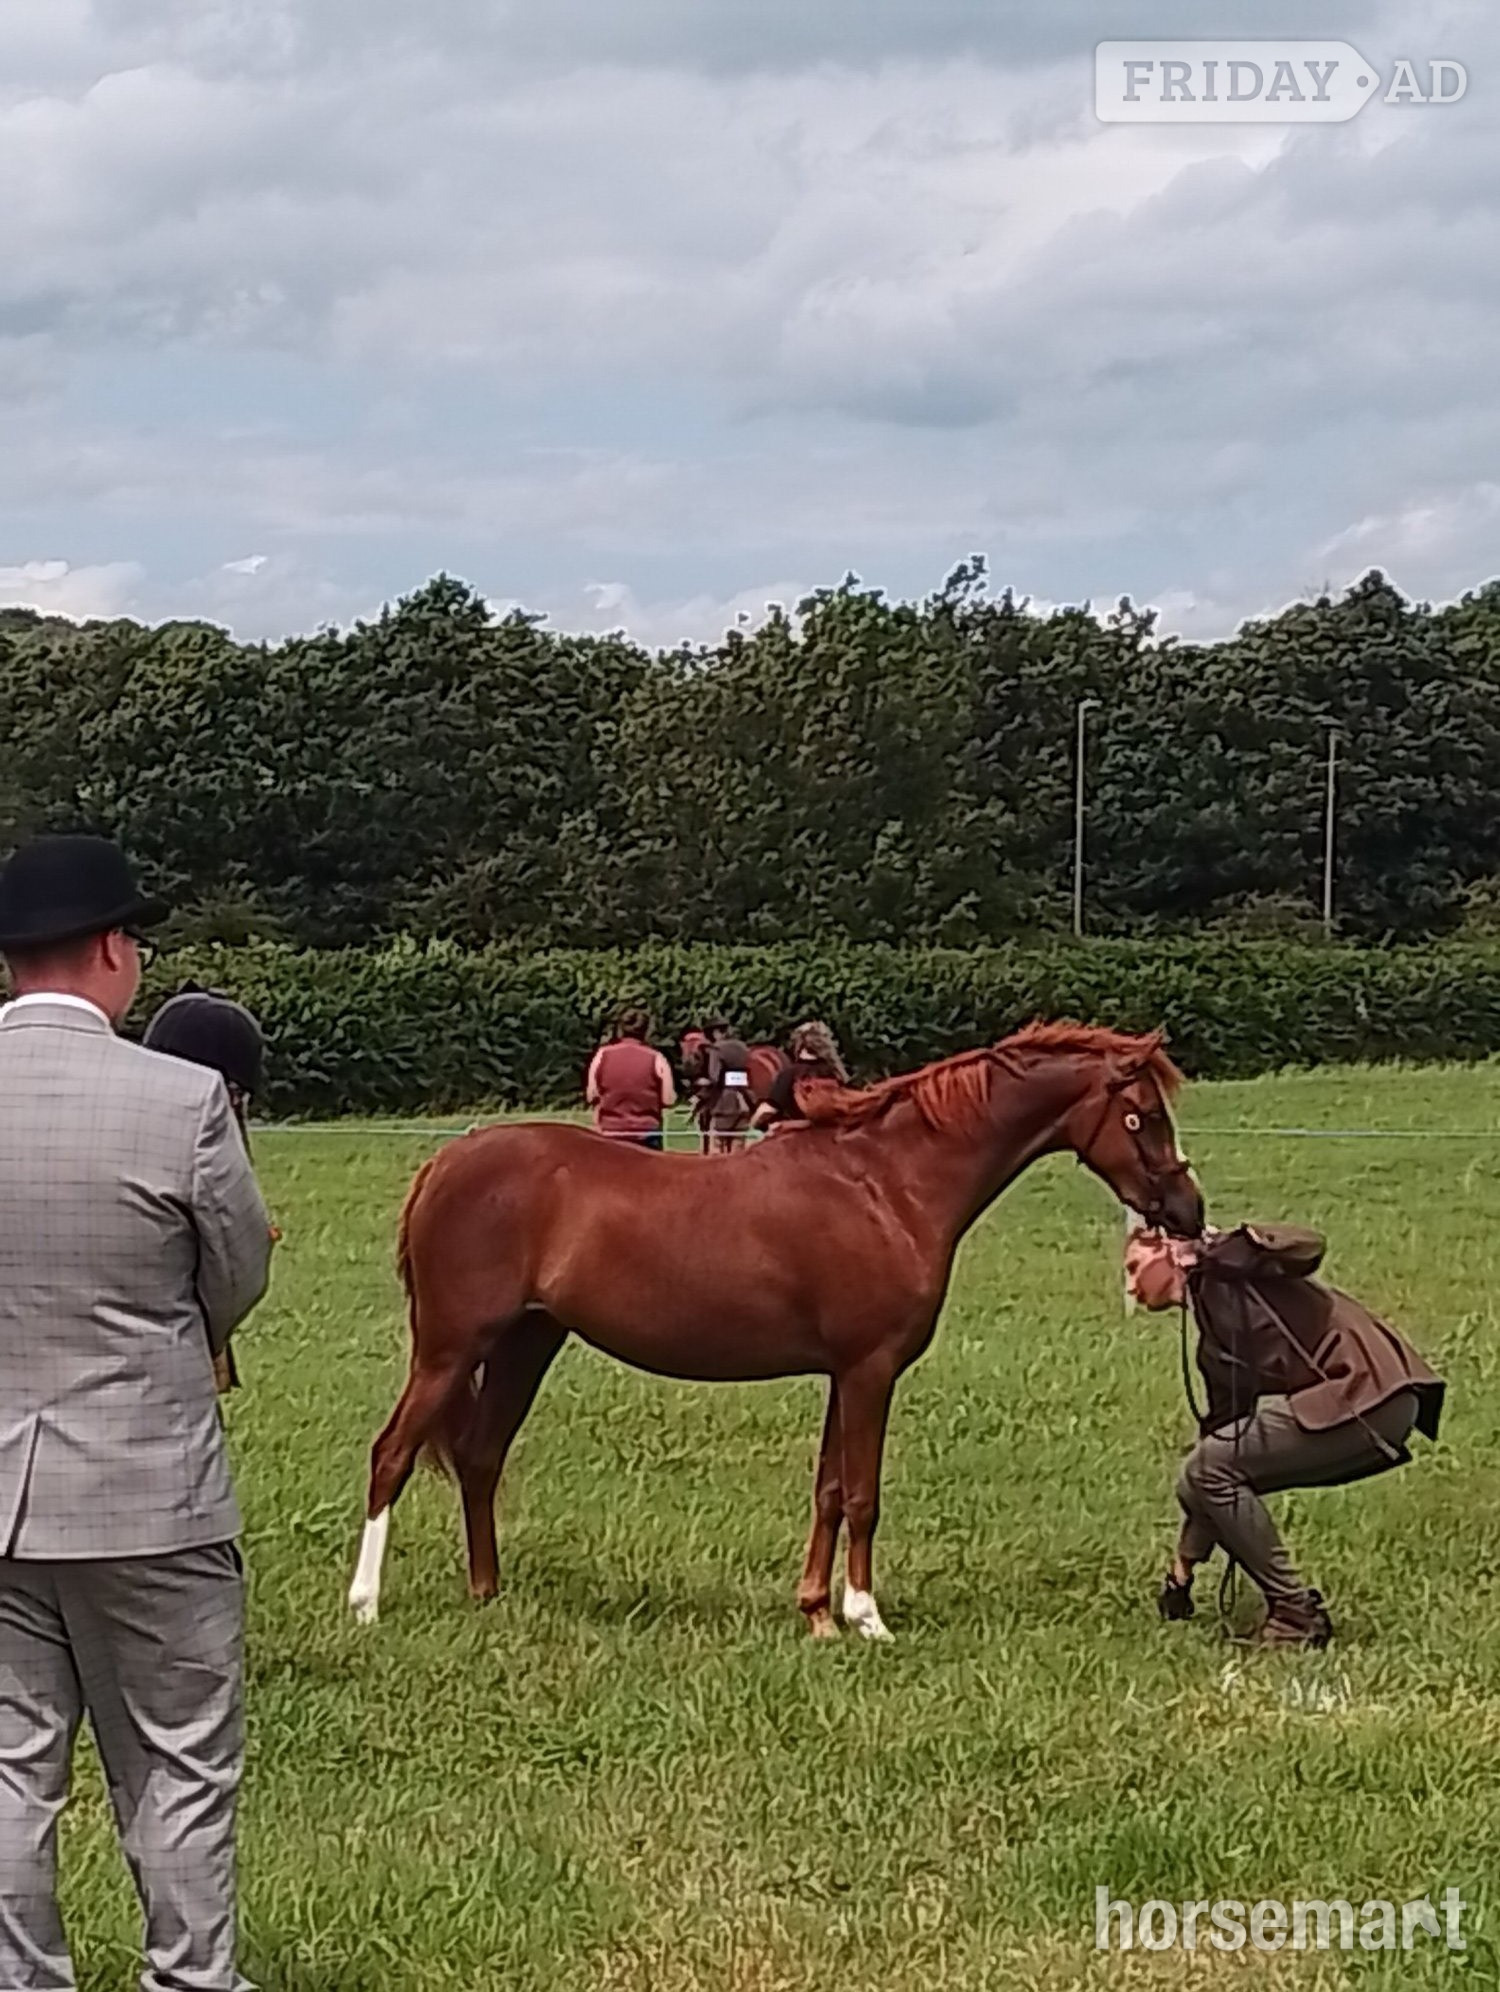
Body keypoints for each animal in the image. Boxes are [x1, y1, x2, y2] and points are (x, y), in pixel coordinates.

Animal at [348, 1022, 1202, 1638]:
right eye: (1142, 1117)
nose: (1188, 1211)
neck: (888, 1185)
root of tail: (446, 1163)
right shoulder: (870, 1369)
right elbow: (862, 1494)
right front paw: (866, 1618)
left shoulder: (843, 1372)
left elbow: (828, 1490)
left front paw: (817, 1613)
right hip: (450, 1349)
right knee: (392, 1455)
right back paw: (365, 1606)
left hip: (527, 1344)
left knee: (479, 1458)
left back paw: (486, 1594)